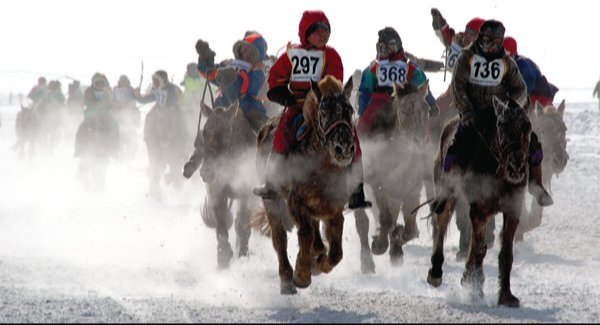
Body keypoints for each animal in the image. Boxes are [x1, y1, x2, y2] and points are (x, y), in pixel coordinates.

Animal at [197, 100, 260, 268]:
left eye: (226, 132)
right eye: (204, 132)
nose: (206, 172)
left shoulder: (247, 192)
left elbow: (242, 224)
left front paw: (243, 253)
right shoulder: (216, 192)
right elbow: (221, 222)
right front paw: (223, 255)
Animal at [253, 75, 356, 294]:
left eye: (350, 110)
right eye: (324, 111)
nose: (343, 147)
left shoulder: (334, 209)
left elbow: (336, 252)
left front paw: (319, 264)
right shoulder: (295, 202)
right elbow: (306, 234)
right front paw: (301, 273)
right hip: (271, 201)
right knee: (280, 237)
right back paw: (286, 279)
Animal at [354, 79, 434, 272]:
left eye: (427, 110)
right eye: (404, 111)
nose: (420, 141)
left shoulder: (411, 188)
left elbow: (410, 229)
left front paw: (397, 239)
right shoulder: (379, 186)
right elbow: (385, 219)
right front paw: (379, 245)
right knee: (363, 222)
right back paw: (367, 261)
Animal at [424, 96, 532, 306]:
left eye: (527, 126)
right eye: (501, 125)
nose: (516, 166)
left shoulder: (512, 210)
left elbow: (505, 253)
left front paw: (506, 295)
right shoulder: (480, 209)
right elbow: (480, 249)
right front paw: (474, 288)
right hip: (447, 190)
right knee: (442, 219)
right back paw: (436, 271)